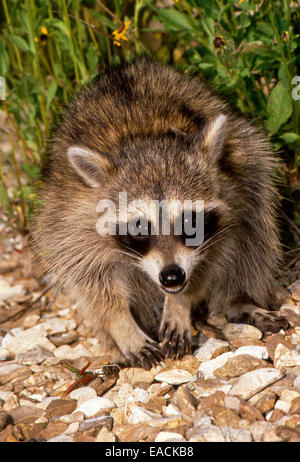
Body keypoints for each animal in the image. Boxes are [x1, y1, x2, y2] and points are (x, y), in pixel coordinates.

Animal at [30, 59, 286, 370]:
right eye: (139, 227)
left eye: (190, 222)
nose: (172, 278)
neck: (143, 138)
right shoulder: (71, 218)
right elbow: (91, 281)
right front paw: (121, 324)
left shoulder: (231, 201)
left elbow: (217, 254)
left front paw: (180, 303)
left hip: (248, 157)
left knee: (255, 235)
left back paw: (238, 300)